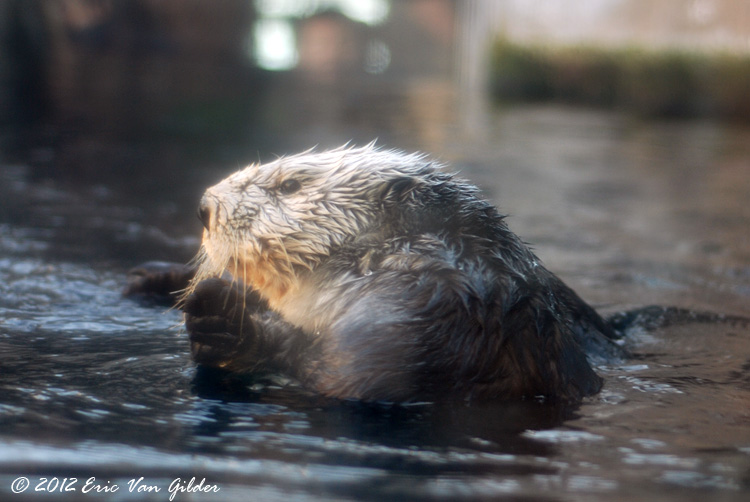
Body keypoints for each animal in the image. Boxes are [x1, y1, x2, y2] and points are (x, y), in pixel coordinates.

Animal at [127, 144, 624, 403]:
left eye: (289, 185)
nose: (204, 207)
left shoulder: (418, 305)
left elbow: (347, 381)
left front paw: (220, 317)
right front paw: (159, 275)